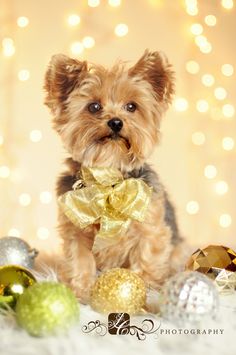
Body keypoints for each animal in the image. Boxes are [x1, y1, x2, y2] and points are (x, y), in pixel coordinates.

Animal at [44, 50, 184, 304]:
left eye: (131, 106)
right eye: (94, 106)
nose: (116, 122)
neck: (108, 177)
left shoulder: (151, 229)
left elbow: (146, 260)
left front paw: (142, 295)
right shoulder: (75, 230)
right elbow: (80, 262)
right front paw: (81, 293)